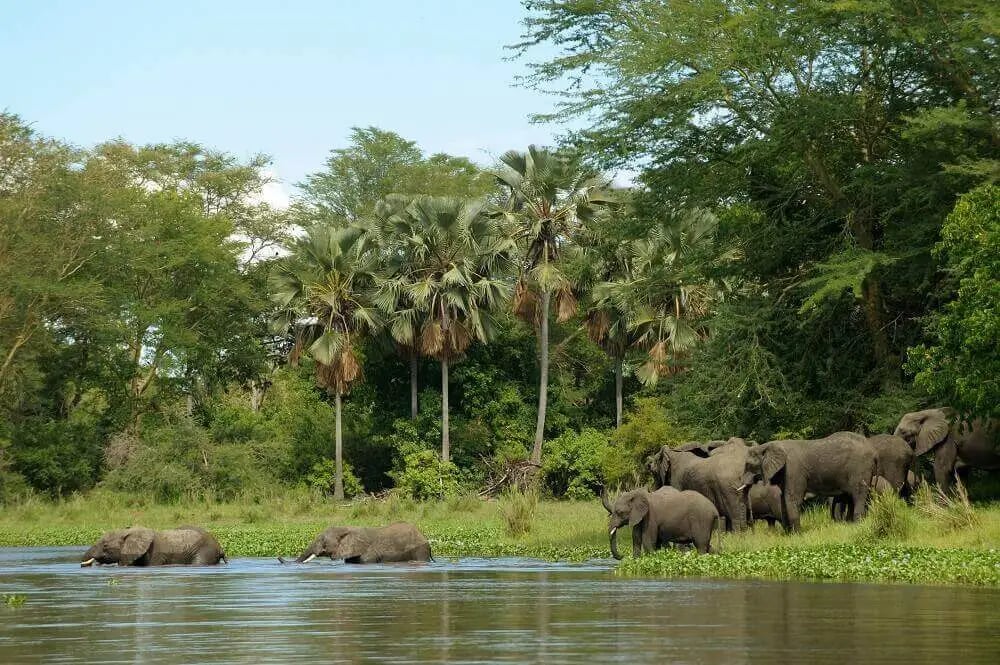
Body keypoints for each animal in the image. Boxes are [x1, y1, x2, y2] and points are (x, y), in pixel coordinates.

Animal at [744, 434, 876, 532]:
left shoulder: (793, 469)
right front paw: (789, 535)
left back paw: (858, 524)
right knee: (851, 496)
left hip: (860, 468)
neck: (766, 445)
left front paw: (797, 535)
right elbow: (783, 499)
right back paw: (851, 524)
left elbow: (792, 498)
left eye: (748, 465)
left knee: (858, 495)